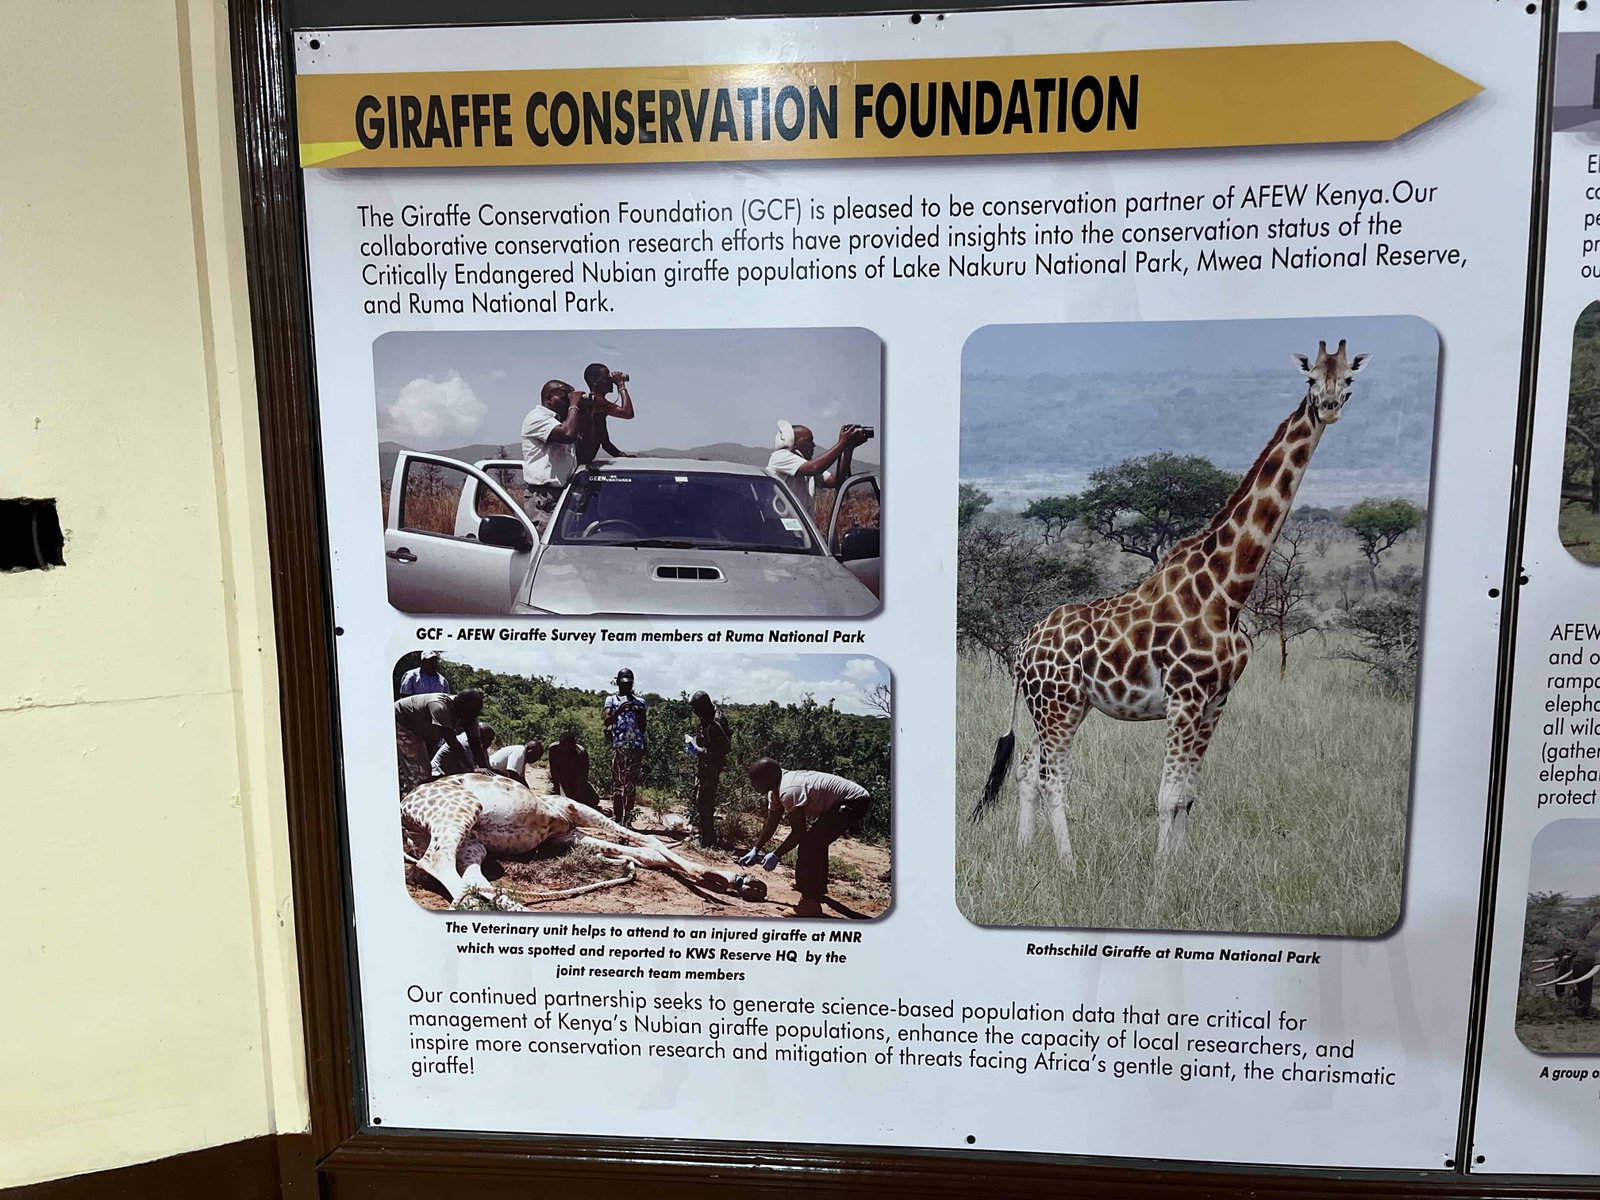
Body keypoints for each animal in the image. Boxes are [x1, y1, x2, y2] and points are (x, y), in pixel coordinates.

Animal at [971, 340, 1370, 866]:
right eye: (1310, 378)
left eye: (1349, 379)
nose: (1328, 406)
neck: (1228, 590)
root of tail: (1021, 649)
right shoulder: (1185, 697)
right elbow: (1167, 794)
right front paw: (1161, 871)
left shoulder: (1217, 699)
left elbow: (1188, 795)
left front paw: (1180, 866)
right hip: (1056, 706)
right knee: (1052, 777)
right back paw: (1069, 864)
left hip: (1061, 705)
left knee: (1025, 767)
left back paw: (1024, 849)